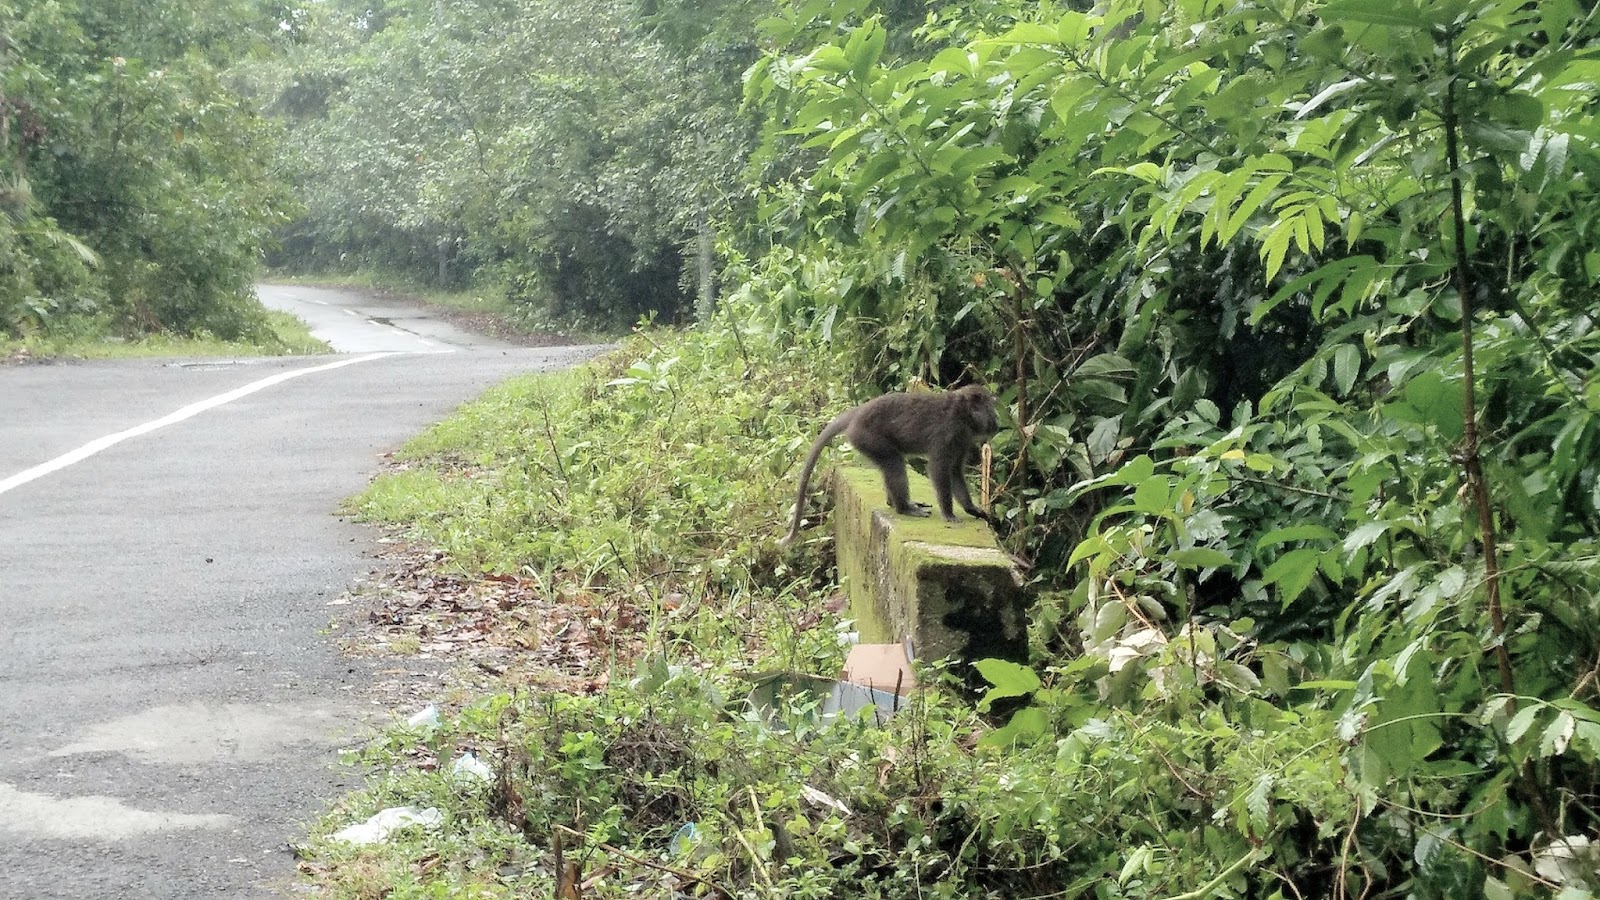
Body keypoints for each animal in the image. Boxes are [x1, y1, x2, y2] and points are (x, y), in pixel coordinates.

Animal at [777, 381, 992, 544]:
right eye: (991, 407)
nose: (996, 421)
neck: (962, 413)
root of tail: (858, 412)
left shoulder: (963, 438)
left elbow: (954, 470)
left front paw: (971, 509)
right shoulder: (948, 431)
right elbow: (939, 468)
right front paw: (948, 513)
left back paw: (895, 502)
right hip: (866, 437)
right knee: (894, 462)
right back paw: (903, 507)